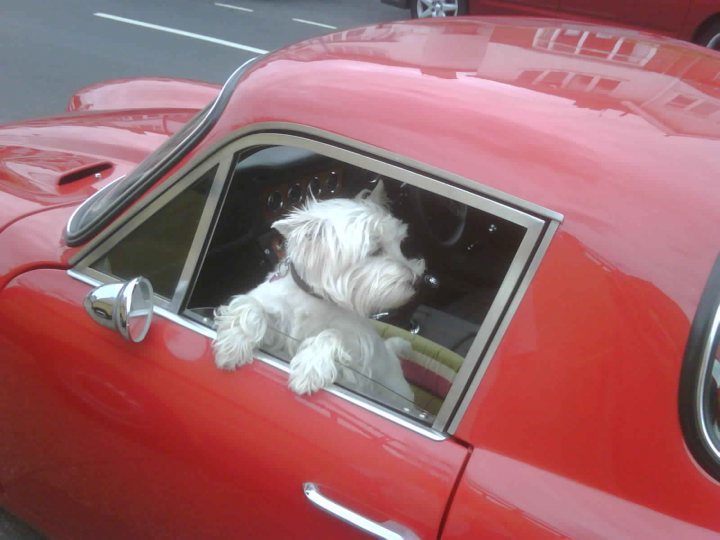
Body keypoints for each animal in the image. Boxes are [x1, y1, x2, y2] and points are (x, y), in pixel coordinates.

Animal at [217, 181, 424, 404]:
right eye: (375, 250)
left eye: (400, 244)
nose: (418, 280)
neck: (315, 296)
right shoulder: (275, 316)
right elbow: (252, 306)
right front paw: (231, 345)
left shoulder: (359, 351)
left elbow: (332, 334)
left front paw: (309, 370)